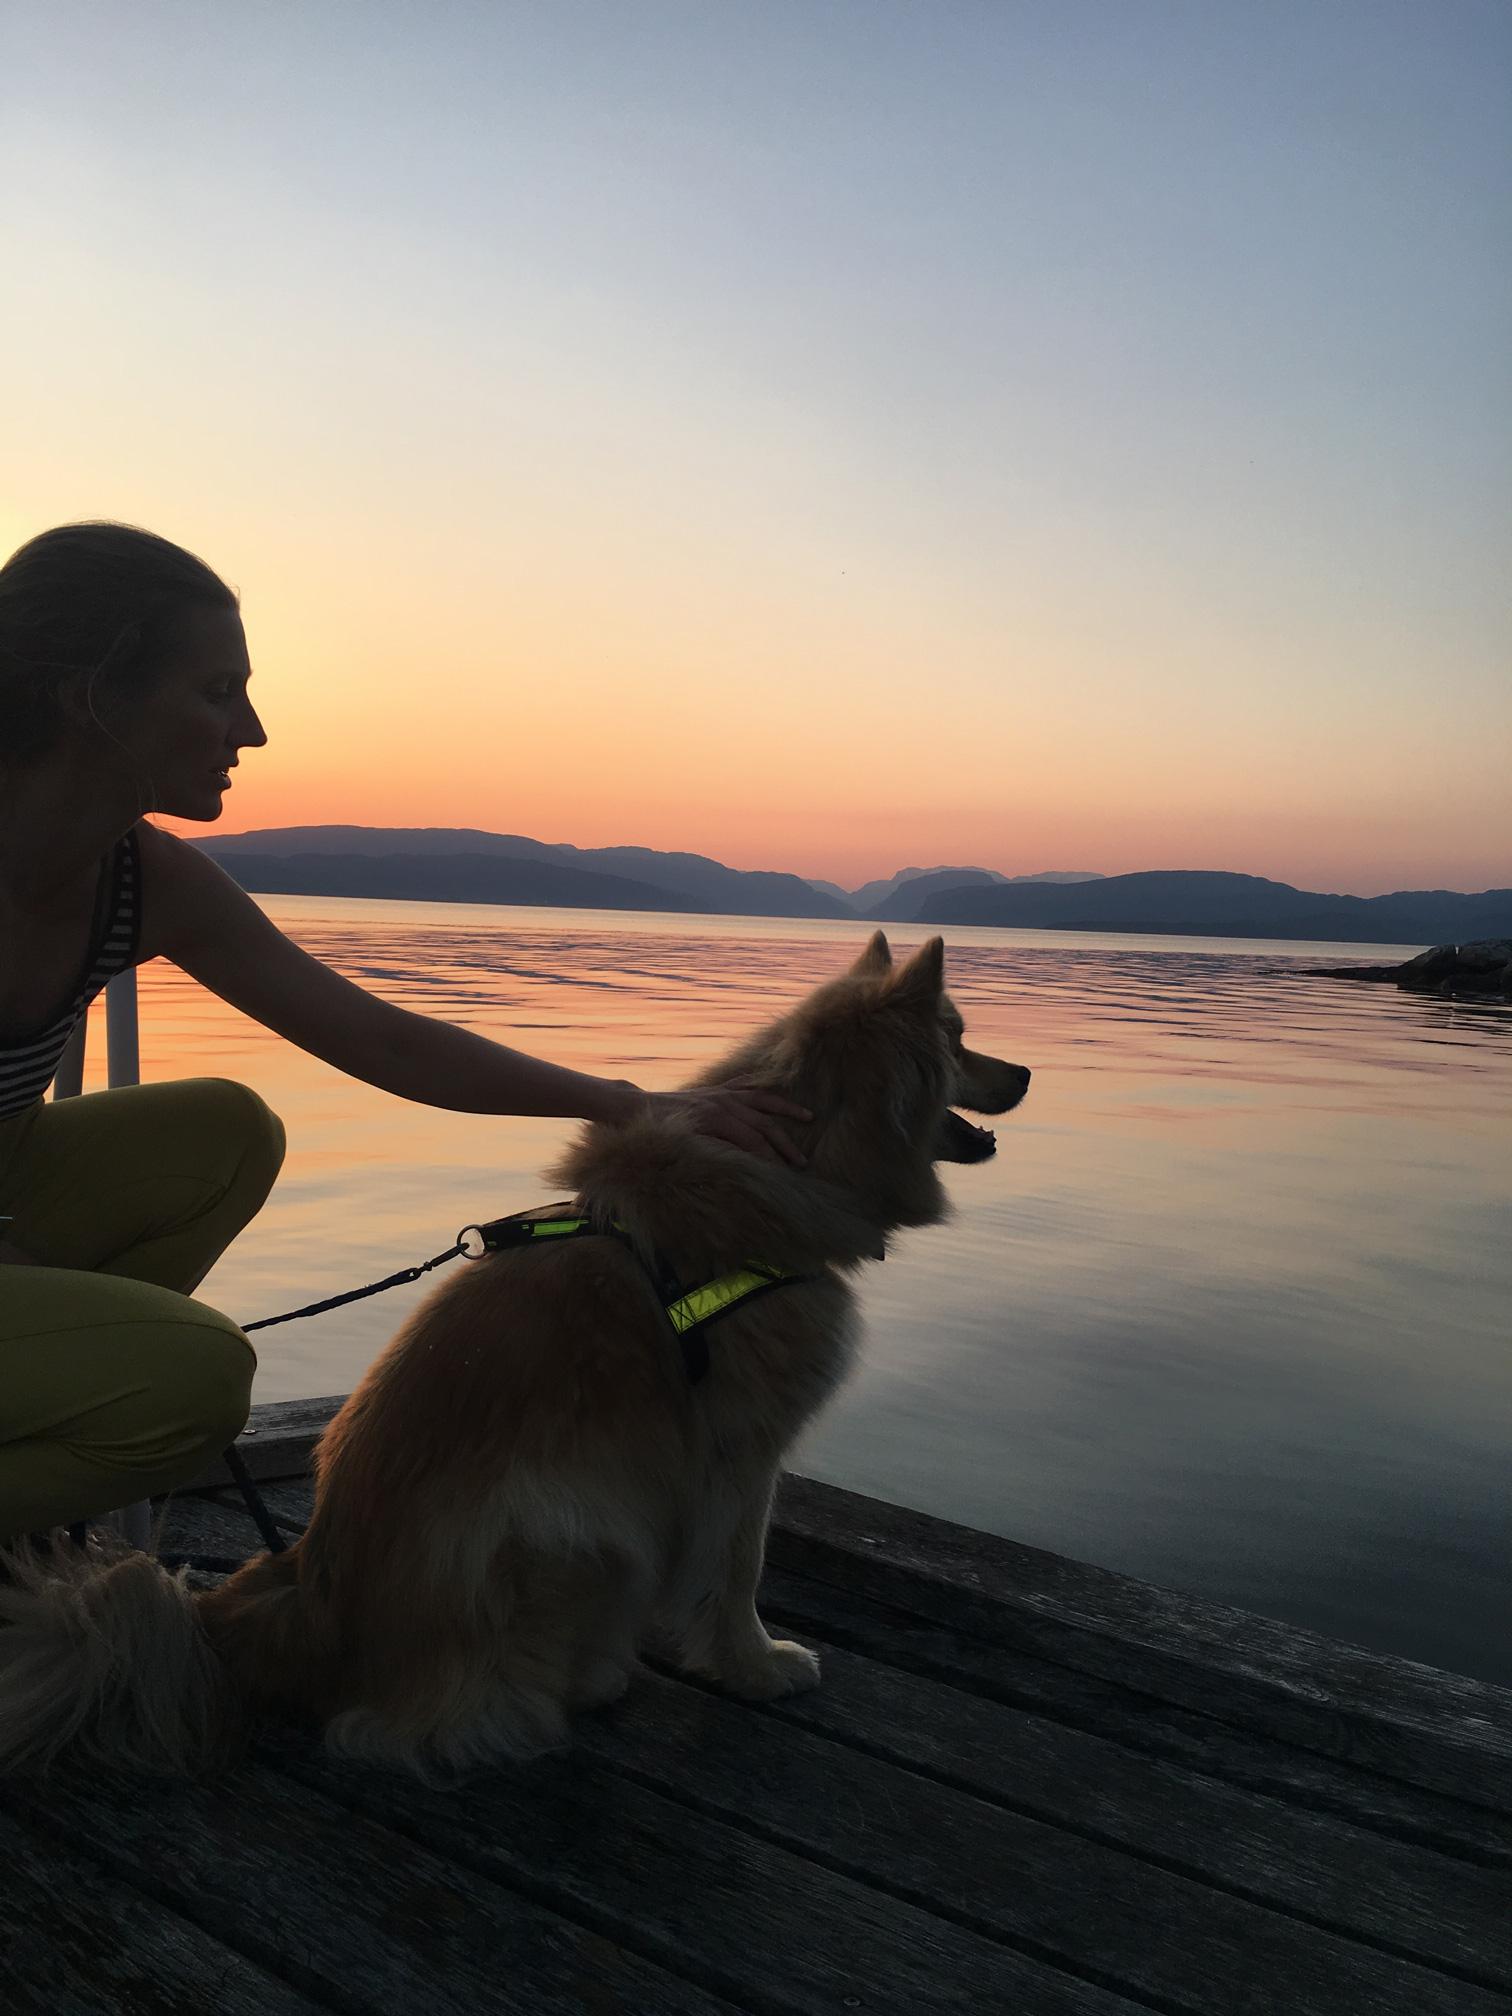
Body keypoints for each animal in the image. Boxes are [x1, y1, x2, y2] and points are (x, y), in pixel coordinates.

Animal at [0, 932, 1029, 1776]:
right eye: (962, 1038)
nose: (1022, 1070)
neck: (802, 1162)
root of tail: (295, 1613)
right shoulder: (739, 1450)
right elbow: (738, 1571)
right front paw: (758, 1665)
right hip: (581, 1522)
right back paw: (585, 1680)